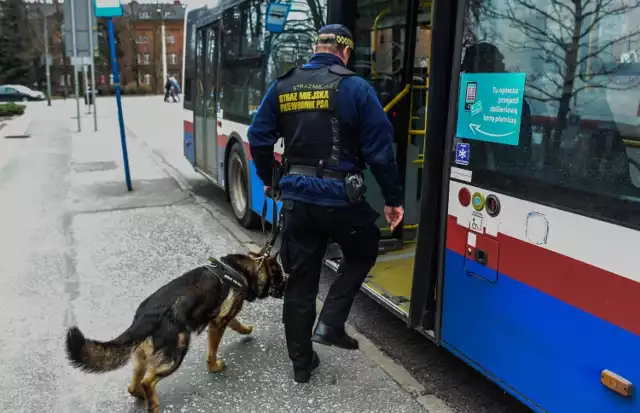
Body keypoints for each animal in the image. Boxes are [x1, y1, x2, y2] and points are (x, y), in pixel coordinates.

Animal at [64, 251, 284, 412]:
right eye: (281, 278)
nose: (286, 287)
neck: (246, 270)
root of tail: (145, 316)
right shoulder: (218, 323)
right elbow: (213, 350)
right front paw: (214, 367)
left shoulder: (224, 318)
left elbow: (237, 324)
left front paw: (246, 329)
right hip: (176, 353)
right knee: (148, 381)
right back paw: (153, 404)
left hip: (142, 358)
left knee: (133, 386)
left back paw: (143, 397)